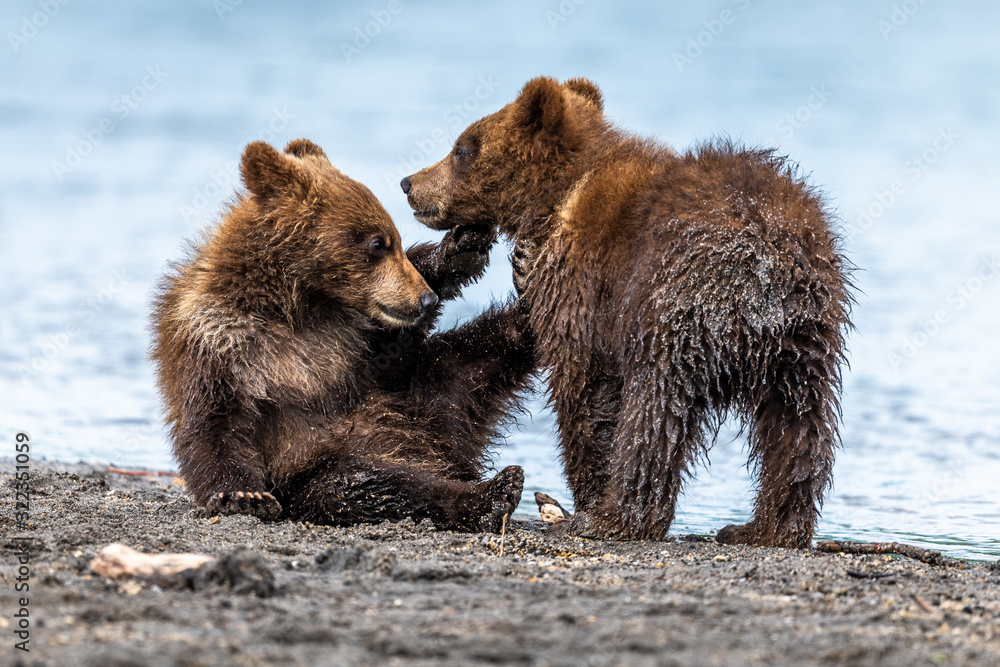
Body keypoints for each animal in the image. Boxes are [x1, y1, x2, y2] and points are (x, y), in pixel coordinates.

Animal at [150, 138, 535, 533]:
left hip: (428, 397)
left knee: (475, 356)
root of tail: (448, 453)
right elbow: (214, 423)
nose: (425, 298)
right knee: (380, 485)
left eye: (395, 239)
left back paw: (526, 298)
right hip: (326, 468)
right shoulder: (218, 341)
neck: (296, 305)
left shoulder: (352, 341)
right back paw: (491, 493)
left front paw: (460, 248)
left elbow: (392, 355)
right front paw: (245, 495)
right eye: (377, 243)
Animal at [401, 77, 854, 547]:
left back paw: (615, 518)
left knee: (655, 408)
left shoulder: (586, 283)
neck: (556, 200)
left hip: (672, 307)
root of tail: (763, 260)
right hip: (804, 337)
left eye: (461, 148)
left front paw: (588, 495)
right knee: (797, 425)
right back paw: (766, 527)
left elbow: (584, 384)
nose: (408, 183)